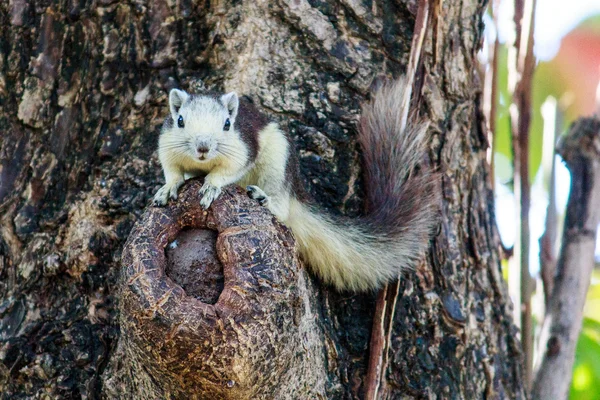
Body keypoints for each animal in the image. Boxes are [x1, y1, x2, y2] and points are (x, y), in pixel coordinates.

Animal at [152, 79, 438, 290]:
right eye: (180, 120)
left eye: (227, 124)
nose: (203, 147)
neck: (202, 163)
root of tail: (295, 189)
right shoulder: (167, 144)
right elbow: (172, 170)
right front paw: (168, 188)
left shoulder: (243, 150)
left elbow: (226, 171)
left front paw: (211, 186)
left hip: (278, 161)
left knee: (282, 207)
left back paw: (264, 198)